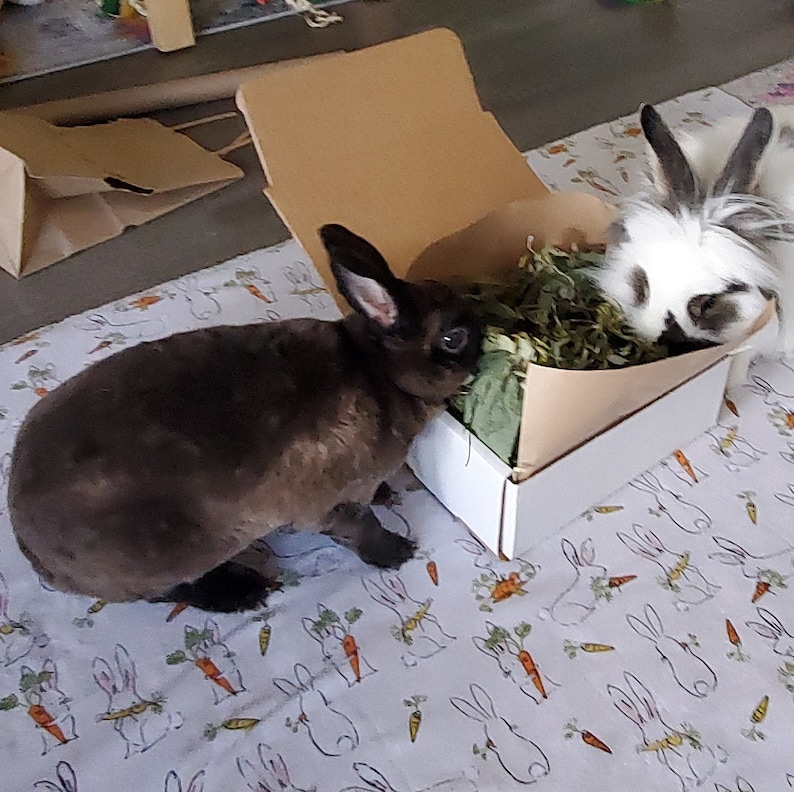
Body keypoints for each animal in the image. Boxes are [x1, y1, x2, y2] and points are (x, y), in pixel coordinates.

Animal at [7, 224, 482, 613]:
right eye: (453, 338)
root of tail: (28, 546)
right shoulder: (336, 504)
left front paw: (386, 494)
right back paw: (243, 592)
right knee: (172, 592)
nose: (487, 334)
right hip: (167, 553)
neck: (375, 370)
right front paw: (398, 552)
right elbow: (362, 530)